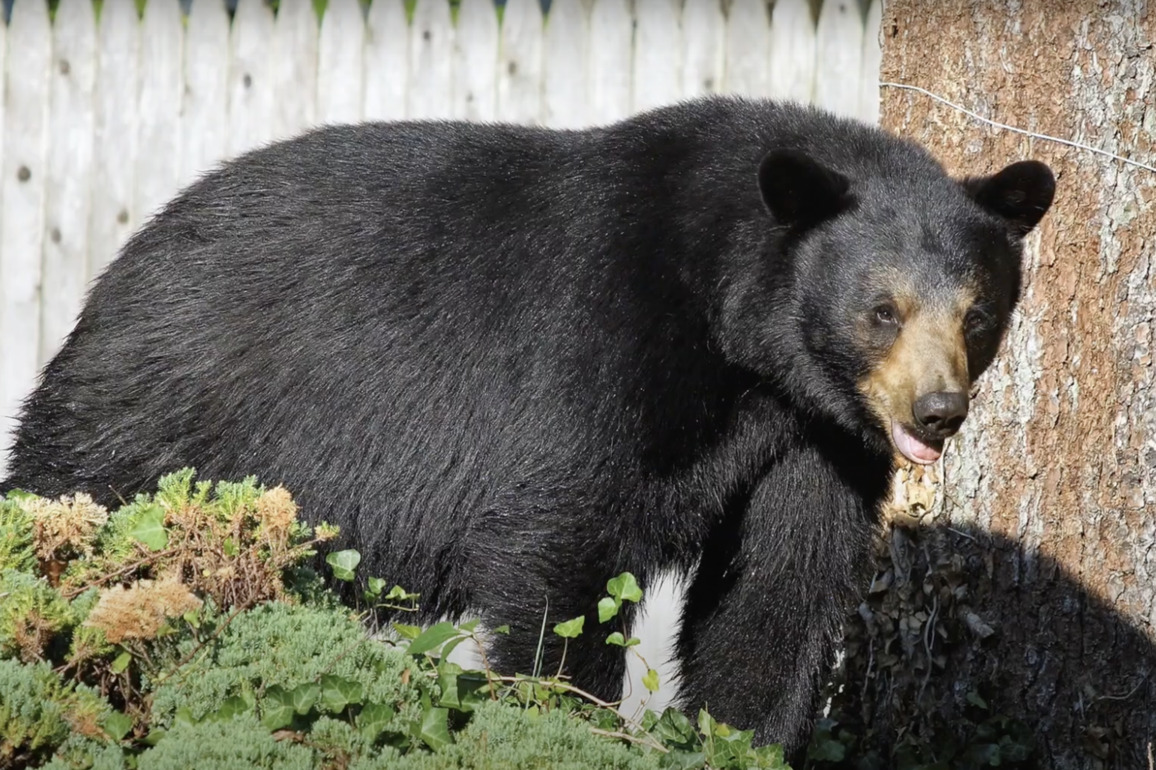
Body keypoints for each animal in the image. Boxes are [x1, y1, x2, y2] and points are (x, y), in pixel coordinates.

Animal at [0, 96, 1054, 755]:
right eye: (881, 309)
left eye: (976, 313)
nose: (937, 412)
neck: (747, 345)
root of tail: (122, 268)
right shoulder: (599, 347)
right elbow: (566, 551)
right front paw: (563, 720)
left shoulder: (815, 436)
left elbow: (781, 584)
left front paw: (741, 737)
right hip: (155, 418)